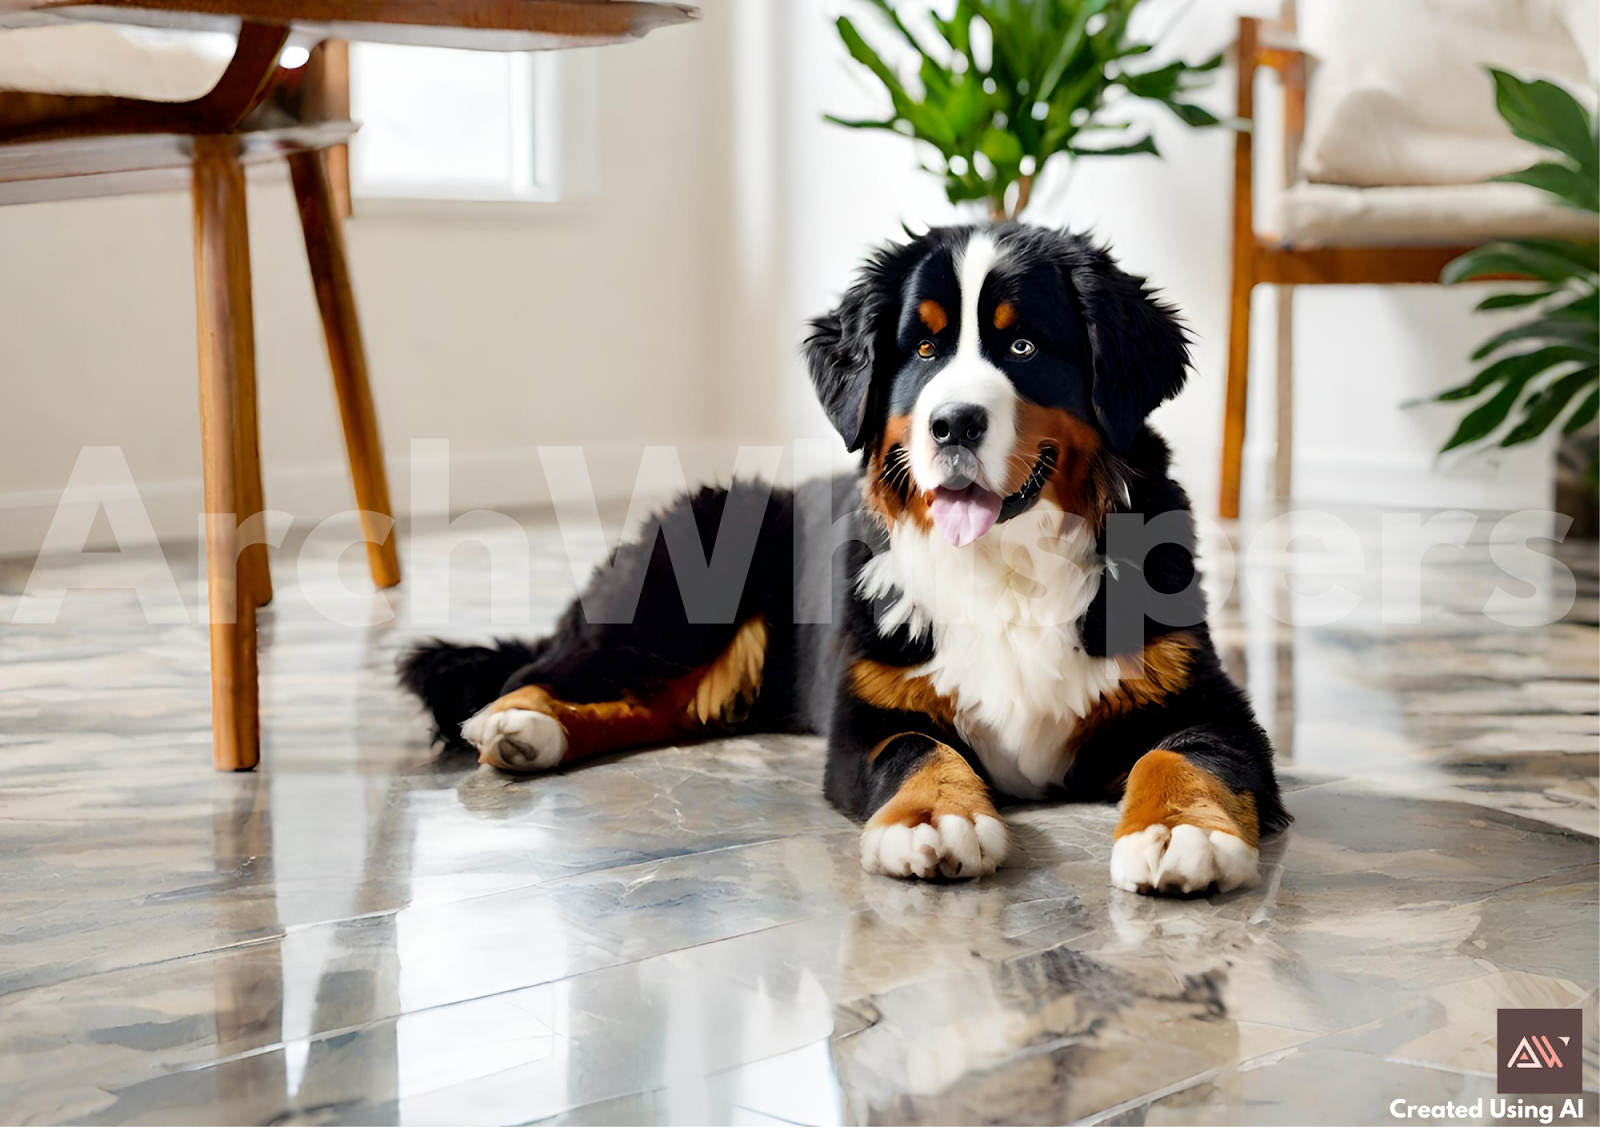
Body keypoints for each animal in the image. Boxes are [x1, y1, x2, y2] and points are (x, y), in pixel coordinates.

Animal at [400, 223, 1286, 895]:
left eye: (1025, 345)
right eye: (923, 349)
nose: (953, 422)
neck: (1006, 565)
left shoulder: (1204, 698)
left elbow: (1188, 752)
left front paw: (1177, 832)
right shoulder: (868, 713)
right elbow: (919, 749)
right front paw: (934, 817)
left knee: (665, 707)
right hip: (678, 594)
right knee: (555, 666)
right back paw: (519, 723)